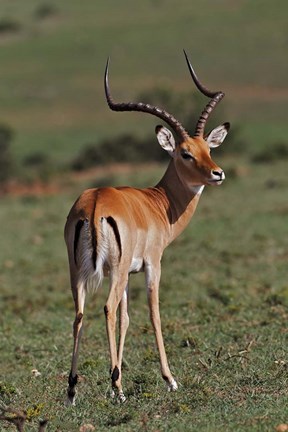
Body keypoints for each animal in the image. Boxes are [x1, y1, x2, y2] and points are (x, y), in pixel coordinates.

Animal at [64, 51, 230, 404]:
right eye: (185, 153)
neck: (158, 204)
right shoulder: (153, 264)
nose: (218, 173)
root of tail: (95, 203)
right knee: (107, 308)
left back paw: (72, 390)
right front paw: (169, 379)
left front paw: (119, 377)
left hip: (79, 273)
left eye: (208, 149)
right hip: (112, 271)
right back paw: (116, 388)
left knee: (81, 314)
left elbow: (127, 319)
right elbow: (153, 314)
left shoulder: (127, 273)